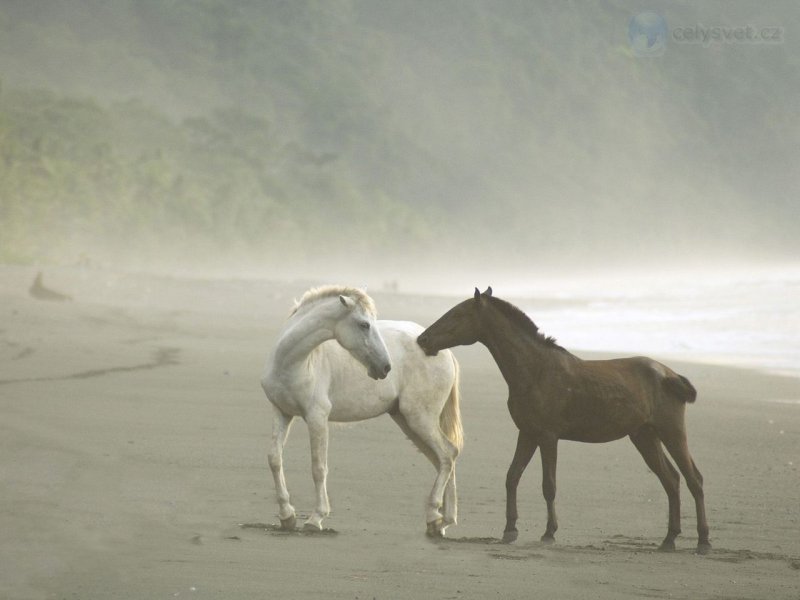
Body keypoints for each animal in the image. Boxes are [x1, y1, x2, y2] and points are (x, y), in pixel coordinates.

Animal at [262, 284, 462, 536]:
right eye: (364, 324)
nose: (385, 367)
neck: (292, 363)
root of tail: (444, 351)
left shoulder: (317, 417)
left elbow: (318, 467)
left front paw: (316, 519)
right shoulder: (281, 412)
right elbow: (274, 459)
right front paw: (287, 515)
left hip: (419, 418)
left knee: (447, 455)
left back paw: (435, 516)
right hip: (407, 421)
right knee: (444, 458)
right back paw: (441, 521)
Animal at [416, 288, 708, 556]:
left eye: (458, 314)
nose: (423, 339)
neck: (536, 370)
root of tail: (669, 374)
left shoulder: (548, 436)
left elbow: (549, 485)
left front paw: (549, 533)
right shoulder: (527, 433)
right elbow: (512, 476)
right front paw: (510, 530)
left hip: (671, 431)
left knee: (693, 479)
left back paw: (703, 541)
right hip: (644, 436)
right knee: (671, 480)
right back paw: (669, 540)